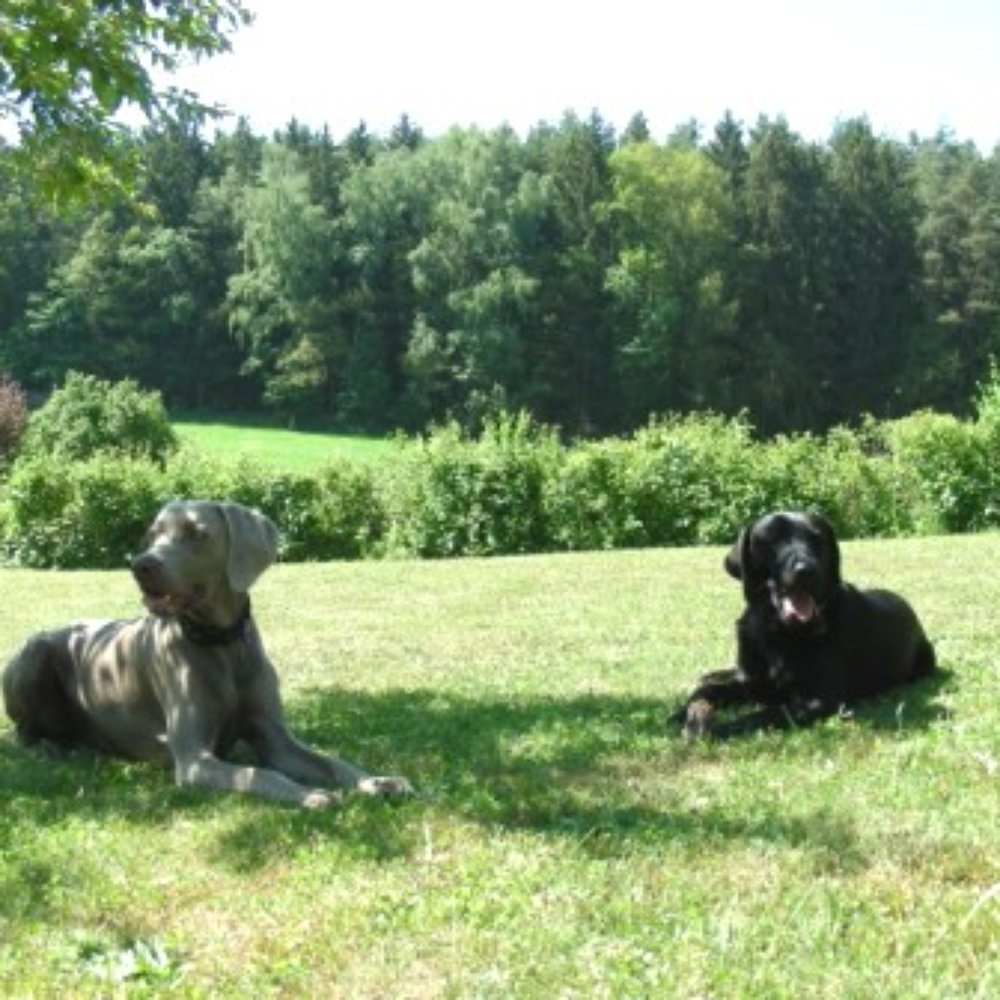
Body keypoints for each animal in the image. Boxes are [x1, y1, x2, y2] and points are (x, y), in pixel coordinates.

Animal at [1, 496, 412, 808]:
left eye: (197, 534)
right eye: (153, 534)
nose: (140, 565)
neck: (223, 643)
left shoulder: (277, 740)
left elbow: (333, 762)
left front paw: (378, 782)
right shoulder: (194, 759)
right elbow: (259, 773)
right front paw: (310, 795)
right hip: (34, 652)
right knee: (23, 732)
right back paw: (50, 749)